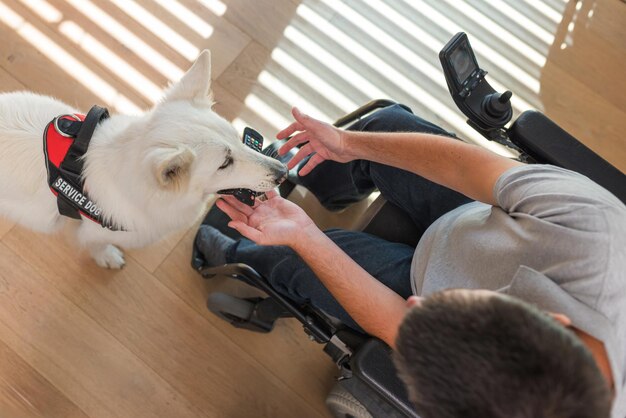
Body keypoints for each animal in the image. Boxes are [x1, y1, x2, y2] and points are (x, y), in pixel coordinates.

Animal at [0, 50, 286, 270]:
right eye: (225, 163)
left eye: (239, 139)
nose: (283, 172)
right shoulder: (94, 232)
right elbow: (95, 243)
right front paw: (106, 256)